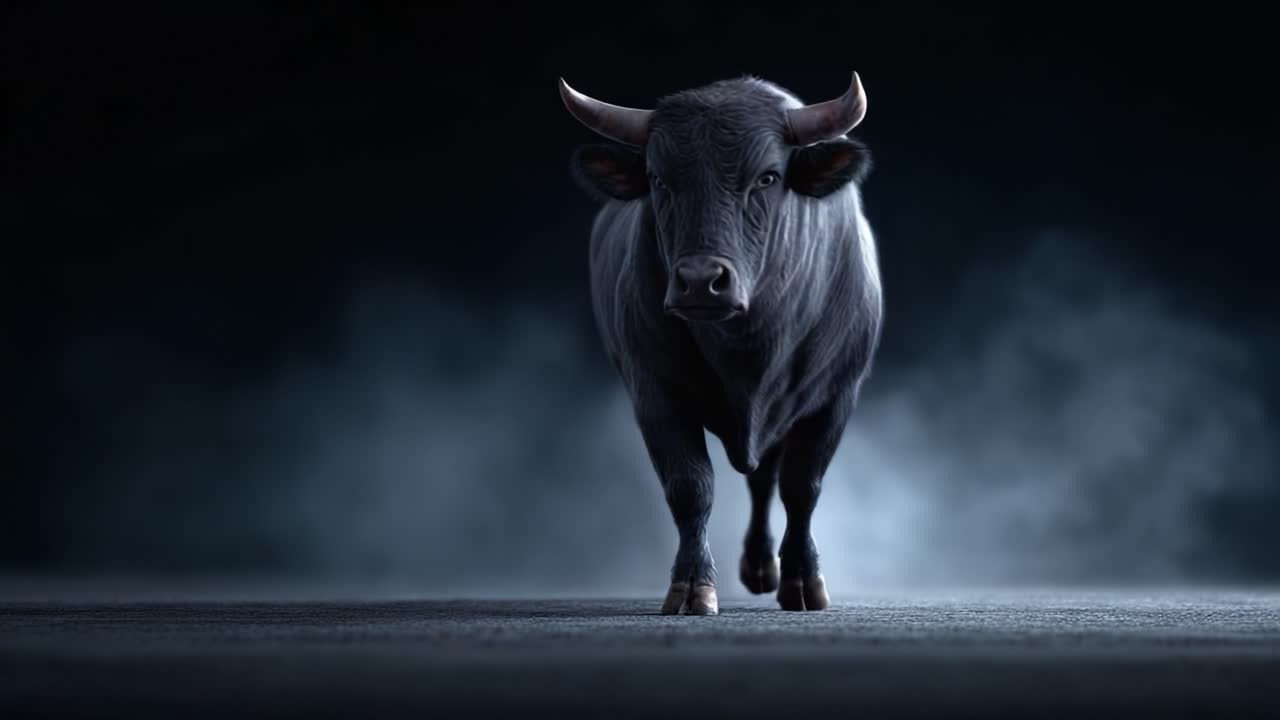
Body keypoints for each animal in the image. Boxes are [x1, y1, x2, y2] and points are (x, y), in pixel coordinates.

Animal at [559, 72, 884, 614]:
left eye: (768, 177)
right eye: (659, 180)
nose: (699, 281)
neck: (746, 352)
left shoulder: (838, 393)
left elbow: (802, 486)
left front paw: (804, 580)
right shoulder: (654, 391)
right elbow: (690, 486)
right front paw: (692, 586)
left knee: (765, 477)